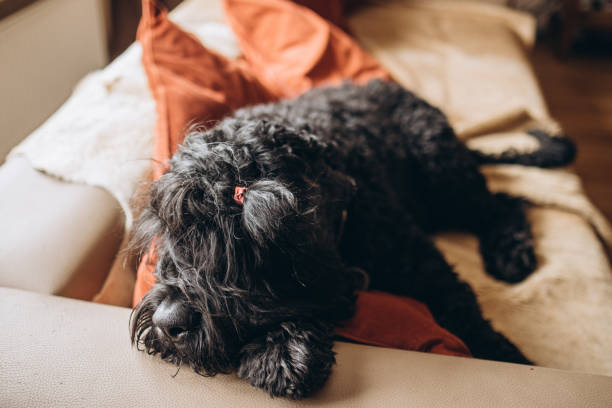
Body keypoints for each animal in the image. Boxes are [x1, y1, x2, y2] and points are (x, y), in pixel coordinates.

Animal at [129, 79, 572, 398]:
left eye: (243, 241)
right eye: (173, 229)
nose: (168, 323)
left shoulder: (422, 265)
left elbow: (464, 312)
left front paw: (506, 356)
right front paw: (286, 350)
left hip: (443, 172)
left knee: (504, 203)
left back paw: (510, 254)